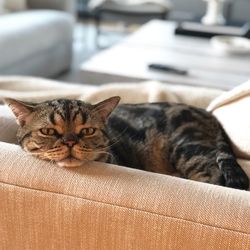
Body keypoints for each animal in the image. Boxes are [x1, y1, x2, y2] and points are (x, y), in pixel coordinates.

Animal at [3, 96, 248, 189]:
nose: (70, 142)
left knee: (213, 176)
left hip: (188, 147)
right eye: (48, 131)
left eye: (87, 130)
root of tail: (208, 114)